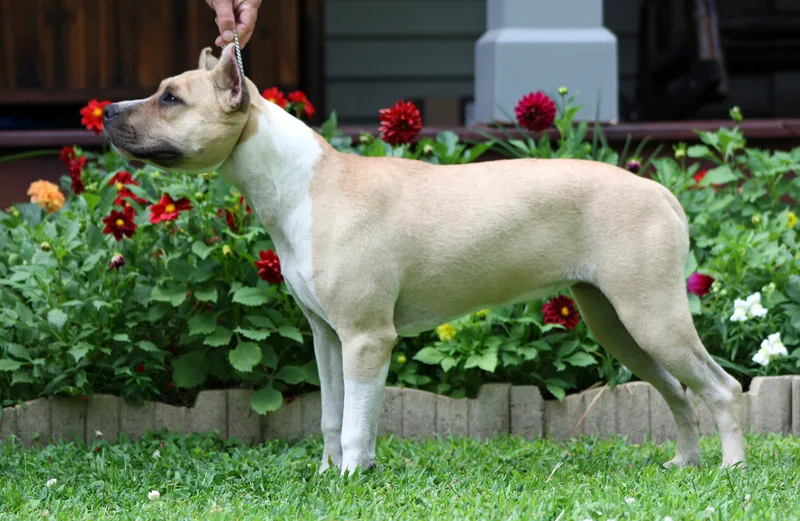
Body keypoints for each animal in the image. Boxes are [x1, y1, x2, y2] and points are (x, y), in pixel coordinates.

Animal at [102, 45, 745, 474]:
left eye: (171, 98)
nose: (107, 110)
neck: (301, 182)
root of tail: (660, 191)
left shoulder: (367, 338)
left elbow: (358, 422)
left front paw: (351, 479)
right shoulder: (328, 339)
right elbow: (334, 416)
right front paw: (330, 476)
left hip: (652, 318)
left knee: (720, 387)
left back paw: (730, 469)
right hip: (617, 324)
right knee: (677, 391)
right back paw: (686, 463)